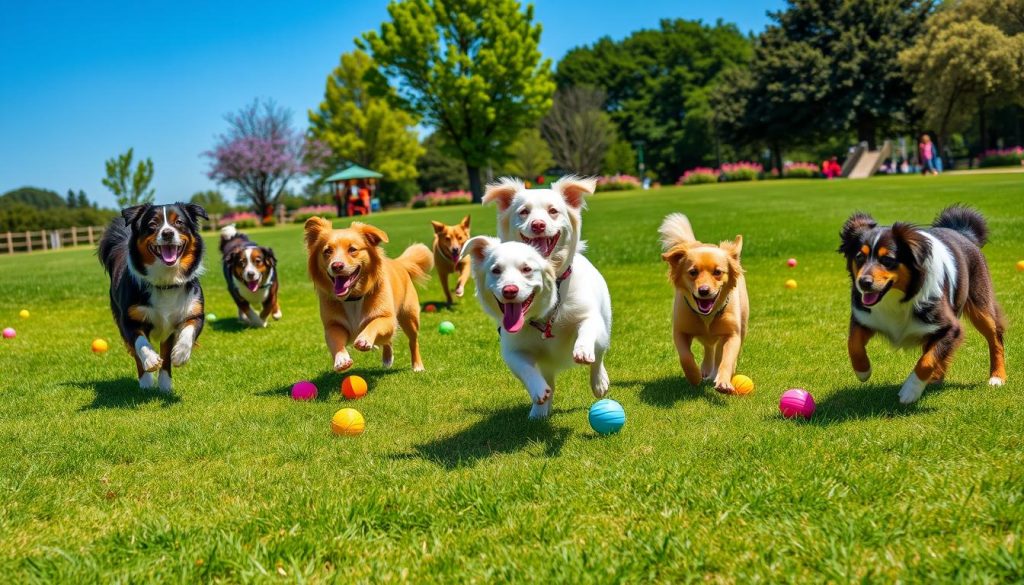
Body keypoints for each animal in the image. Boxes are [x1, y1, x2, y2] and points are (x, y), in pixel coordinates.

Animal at [303, 217, 432, 372]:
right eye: (327, 251)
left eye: (353, 249)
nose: (336, 266)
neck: (352, 298)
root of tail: (399, 263)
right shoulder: (333, 325)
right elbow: (335, 340)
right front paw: (341, 359)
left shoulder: (388, 319)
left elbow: (375, 323)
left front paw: (364, 338)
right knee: (387, 340)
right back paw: (387, 359)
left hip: (409, 317)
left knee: (413, 341)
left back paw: (417, 365)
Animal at [468, 176, 610, 418]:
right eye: (523, 212)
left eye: (553, 211)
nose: (538, 225)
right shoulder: (512, 349)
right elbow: (526, 369)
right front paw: (538, 392)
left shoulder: (590, 317)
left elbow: (587, 330)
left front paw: (582, 351)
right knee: (548, 378)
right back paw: (540, 410)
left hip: (605, 325)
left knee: (599, 355)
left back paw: (599, 381)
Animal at [659, 214, 749, 393]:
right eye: (693, 272)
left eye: (718, 272)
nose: (704, 290)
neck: (708, 315)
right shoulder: (680, 331)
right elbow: (685, 357)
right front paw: (694, 376)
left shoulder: (732, 334)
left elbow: (727, 358)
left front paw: (723, 381)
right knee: (708, 347)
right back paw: (706, 369)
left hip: (743, 324)